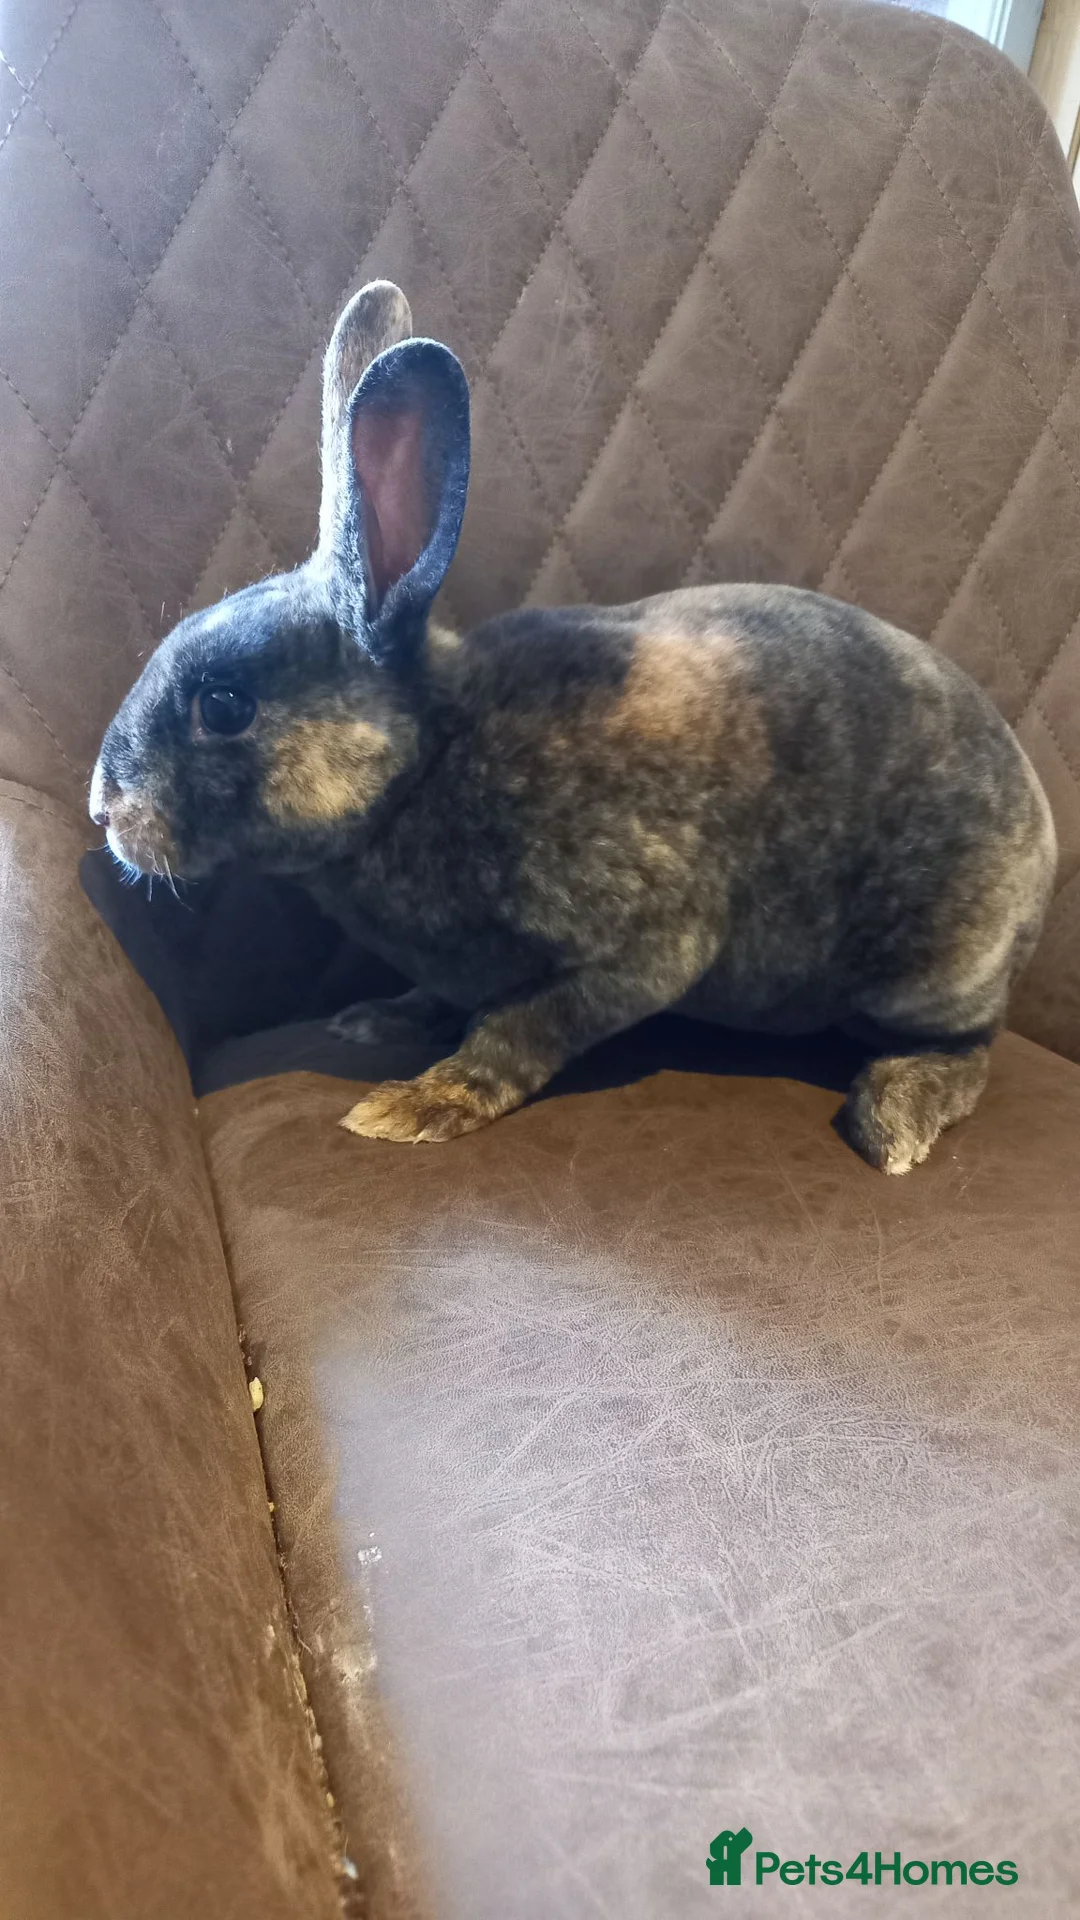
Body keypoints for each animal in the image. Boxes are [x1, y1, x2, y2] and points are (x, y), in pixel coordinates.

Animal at [90, 281, 1057, 1172]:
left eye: (224, 707)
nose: (104, 810)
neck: (427, 764)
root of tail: (1044, 843)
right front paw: (379, 1020)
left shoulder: (645, 947)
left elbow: (522, 1030)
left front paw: (418, 1105)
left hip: (930, 968)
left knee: (969, 1048)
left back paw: (896, 1118)